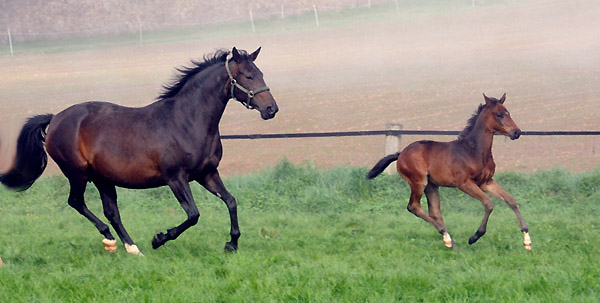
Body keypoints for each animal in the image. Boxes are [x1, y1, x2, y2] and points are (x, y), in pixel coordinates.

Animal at [0, 47, 278, 256]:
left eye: (261, 73)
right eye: (247, 76)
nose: (271, 109)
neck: (187, 121)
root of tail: (55, 118)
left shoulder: (207, 173)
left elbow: (231, 201)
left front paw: (232, 243)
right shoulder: (176, 178)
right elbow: (193, 215)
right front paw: (159, 238)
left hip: (102, 178)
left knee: (111, 211)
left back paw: (131, 248)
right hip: (78, 174)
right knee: (77, 202)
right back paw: (112, 240)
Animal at [366, 95, 528, 252]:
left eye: (508, 112)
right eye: (499, 114)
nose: (517, 132)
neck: (474, 150)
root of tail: (400, 154)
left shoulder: (486, 182)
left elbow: (510, 199)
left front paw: (527, 238)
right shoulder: (464, 183)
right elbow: (488, 203)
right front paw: (474, 237)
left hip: (431, 185)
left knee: (435, 212)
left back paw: (450, 242)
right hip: (418, 181)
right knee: (413, 206)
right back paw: (448, 238)